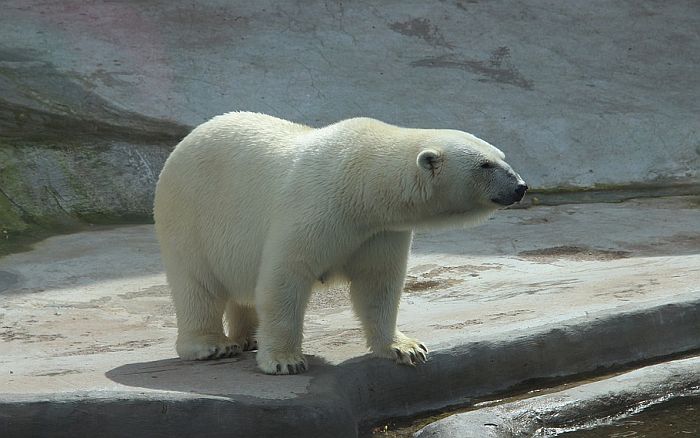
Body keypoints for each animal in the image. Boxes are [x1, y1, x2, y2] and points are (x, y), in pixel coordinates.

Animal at [153, 112, 524, 372]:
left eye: (502, 155)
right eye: (485, 164)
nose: (520, 186)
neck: (361, 185)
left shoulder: (379, 231)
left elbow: (378, 284)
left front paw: (406, 348)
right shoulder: (316, 208)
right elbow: (285, 277)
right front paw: (285, 361)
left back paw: (248, 338)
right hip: (188, 214)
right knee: (197, 284)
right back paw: (212, 345)